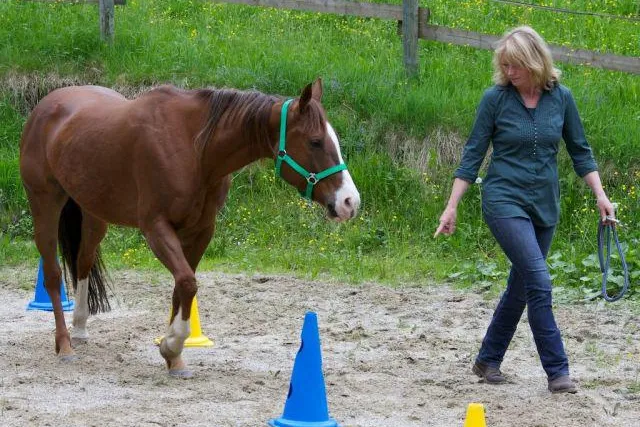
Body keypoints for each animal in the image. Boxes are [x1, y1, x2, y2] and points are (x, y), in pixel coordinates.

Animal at [19, 78, 360, 377]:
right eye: (315, 141)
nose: (349, 202)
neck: (195, 150)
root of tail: (46, 105)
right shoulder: (156, 228)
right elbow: (187, 282)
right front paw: (171, 345)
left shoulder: (200, 231)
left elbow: (181, 287)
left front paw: (174, 357)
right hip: (45, 204)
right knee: (53, 274)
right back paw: (64, 344)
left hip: (94, 214)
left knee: (83, 262)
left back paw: (79, 328)